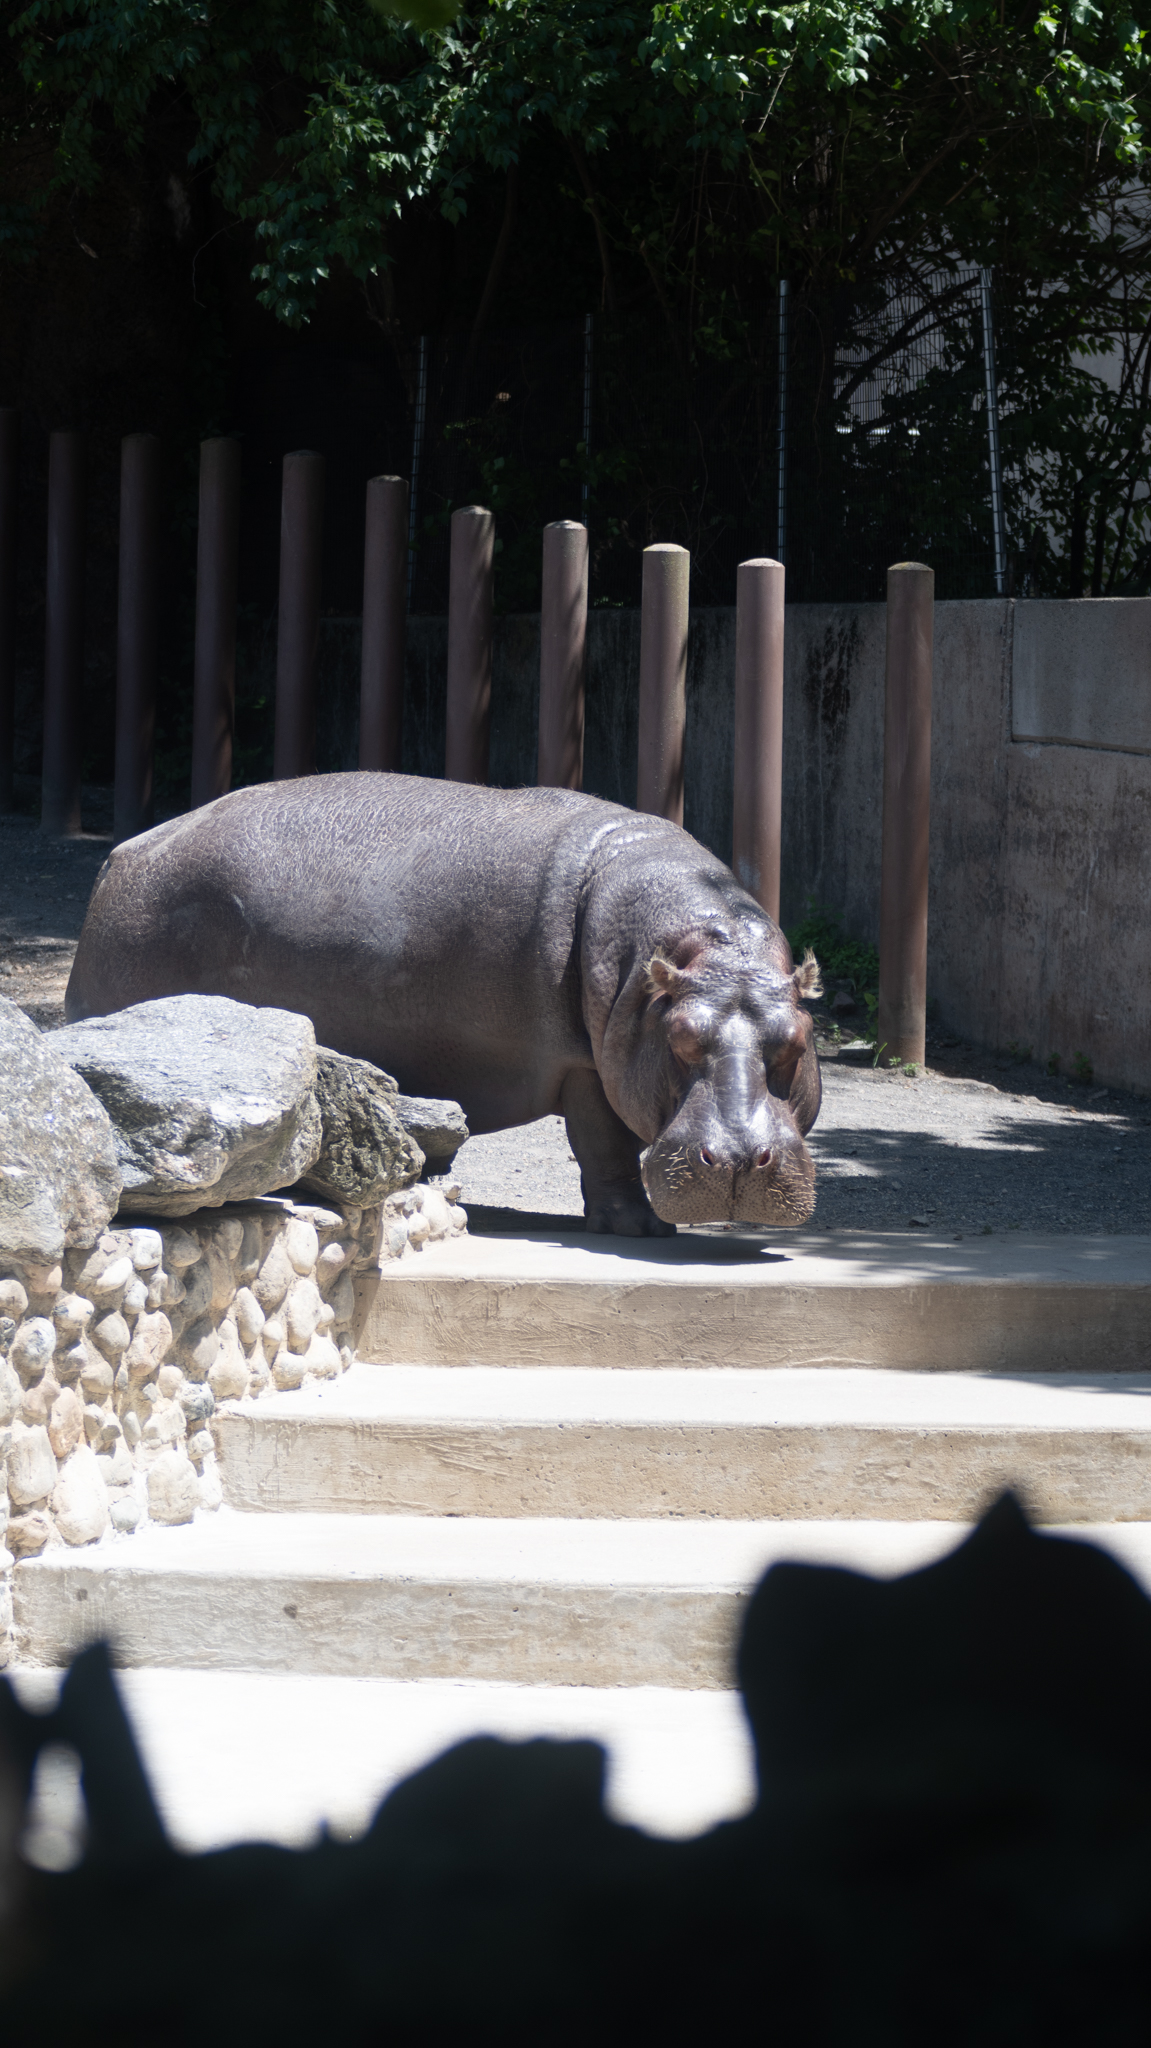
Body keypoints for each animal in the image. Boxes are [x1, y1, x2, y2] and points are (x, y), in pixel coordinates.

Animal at [65, 774, 822, 1235]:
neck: (692, 954)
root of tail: (125, 853)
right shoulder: (585, 1066)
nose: (736, 1162)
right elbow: (602, 1142)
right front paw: (640, 1229)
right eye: (679, 1039)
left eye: (794, 1042)